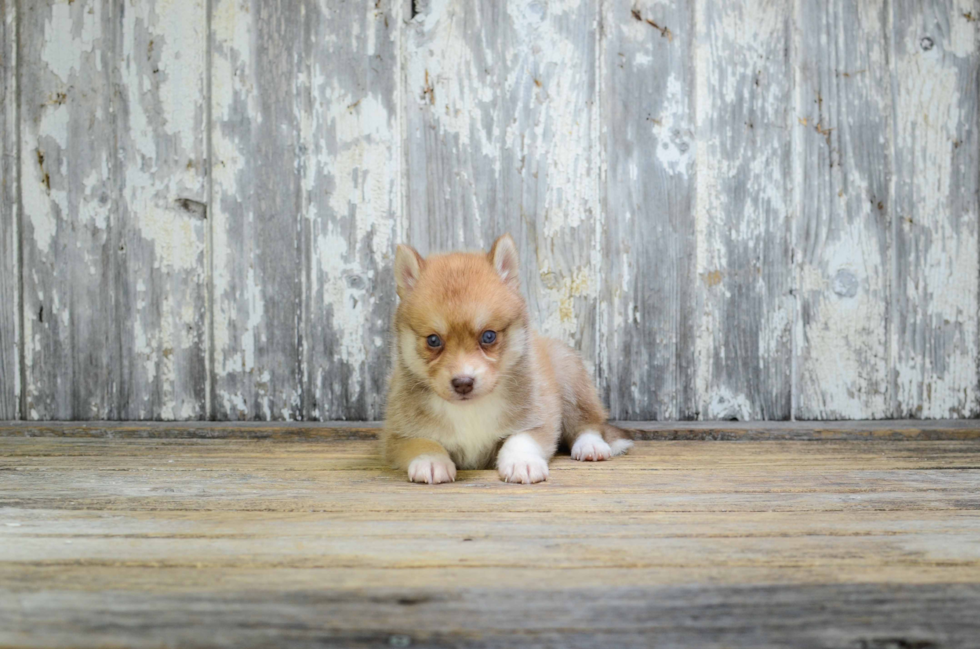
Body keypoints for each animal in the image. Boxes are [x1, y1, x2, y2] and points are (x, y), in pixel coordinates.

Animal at [378, 233, 632, 480]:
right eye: (433, 340)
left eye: (488, 336)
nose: (463, 383)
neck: (470, 410)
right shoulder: (398, 433)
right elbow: (422, 443)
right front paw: (431, 462)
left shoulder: (539, 418)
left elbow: (519, 439)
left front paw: (522, 463)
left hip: (569, 376)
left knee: (589, 423)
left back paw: (591, 446)